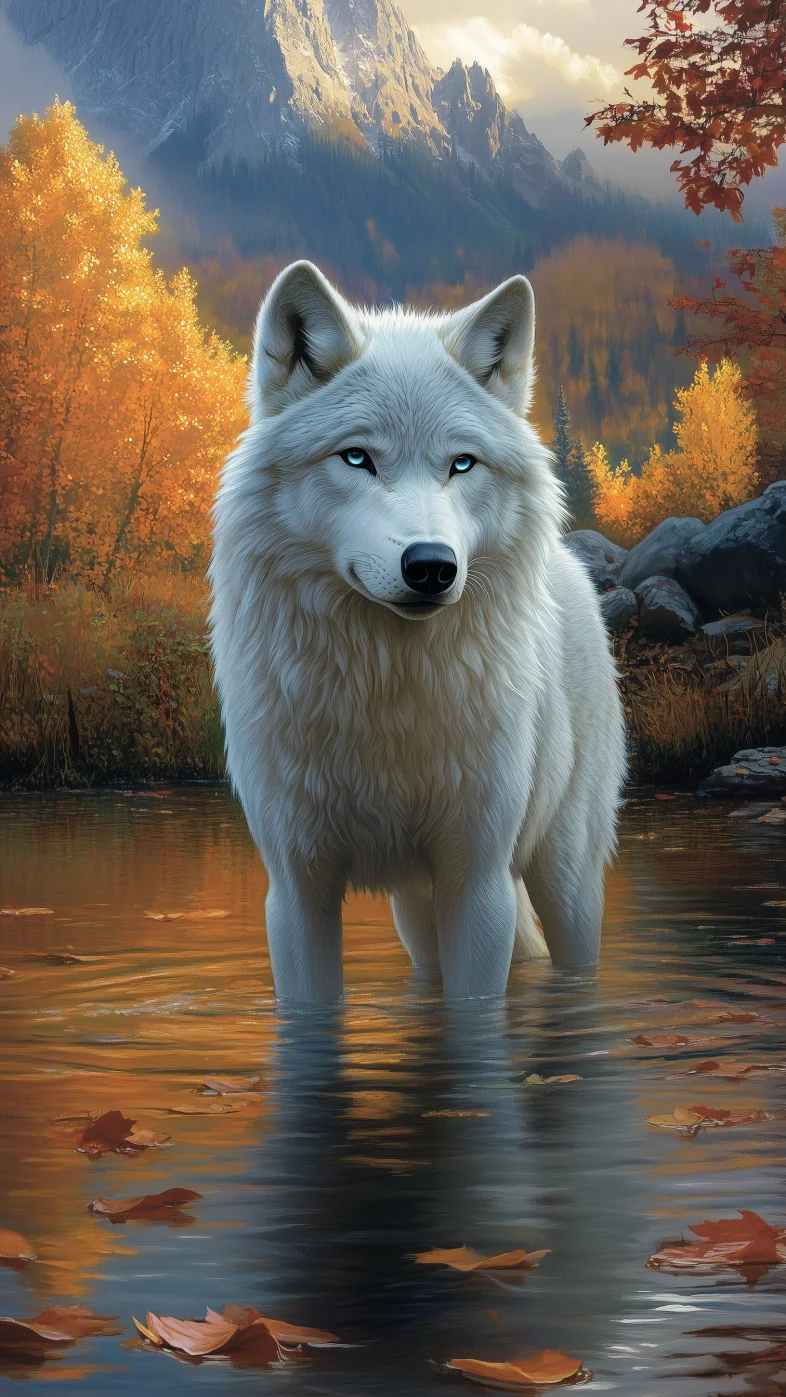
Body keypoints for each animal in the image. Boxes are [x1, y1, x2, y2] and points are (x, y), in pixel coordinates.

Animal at [209, 261, 626, 1002]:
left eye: (461, 463)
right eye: (356, 458)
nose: (431, 565)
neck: (386, 686)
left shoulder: (477, 881)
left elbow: (476, 1010)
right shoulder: (297, 890)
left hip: (565, 881)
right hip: (416, 912)